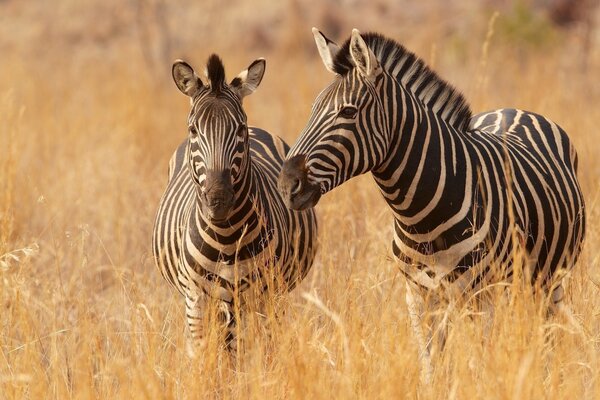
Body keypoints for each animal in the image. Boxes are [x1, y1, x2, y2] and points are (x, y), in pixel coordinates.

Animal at [152, 54, 316, 354]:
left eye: (239, 129)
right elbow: (205, 356)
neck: (227, 237)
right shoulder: (196, 300)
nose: (218, 200)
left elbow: (266, 353)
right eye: (193, 129)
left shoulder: (268, 295)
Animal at [278, 27, 584, 382]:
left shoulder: (483, 296)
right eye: (313, 109)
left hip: (548, 281)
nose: (286, 184)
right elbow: (432, 369)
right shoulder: (419, 296)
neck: (421, 218)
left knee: (547, 338)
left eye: (348, 112)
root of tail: (515, 109)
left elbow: (481, 366)